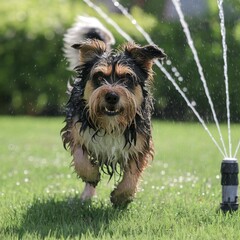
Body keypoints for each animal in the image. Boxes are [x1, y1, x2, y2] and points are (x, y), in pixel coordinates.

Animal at [61, 16, 165, 207]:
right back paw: (87, 195)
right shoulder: (76, 130)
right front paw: (91, 175)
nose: (111, 96)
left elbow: (132, 175)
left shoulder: (140, 143)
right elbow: (81, 158)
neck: (111, 124)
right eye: (99, 76)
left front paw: (121, 196)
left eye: (127, 78)